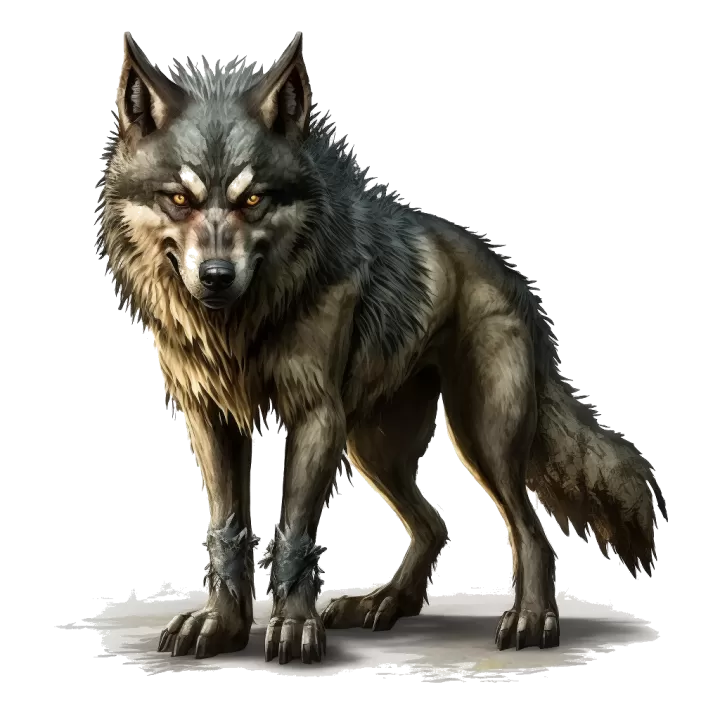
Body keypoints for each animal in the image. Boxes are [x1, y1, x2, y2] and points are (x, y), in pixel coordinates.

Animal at [97, 31, 666, 665]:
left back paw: (531, 621)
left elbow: (295, 529)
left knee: (528, 531)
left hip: (477, 438)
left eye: (252, 201)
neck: (244, 322)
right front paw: (222, 626)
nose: (218, 276)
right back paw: (385, 603)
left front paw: (293, 628)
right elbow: (228, 526)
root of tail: (515, 282)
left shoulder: (316, 414)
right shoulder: (211, 414)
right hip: (373, 446)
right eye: (180, 198)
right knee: (435, 523)